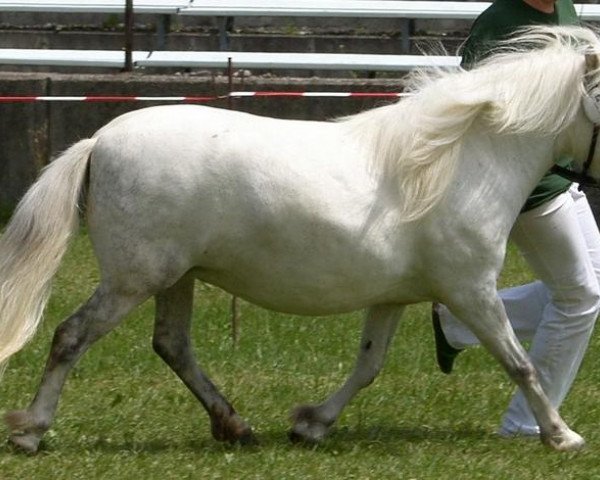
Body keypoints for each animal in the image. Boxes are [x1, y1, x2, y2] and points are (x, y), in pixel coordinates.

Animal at [1, 26, 600, 454]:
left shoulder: (394, 297)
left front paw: (310, 424)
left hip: (175, 278)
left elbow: (368, 364)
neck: (461, 164)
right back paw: (31, 431)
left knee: (172, 344)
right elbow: (520, 363)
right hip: (134, 279)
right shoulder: (471, 290)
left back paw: (235, 426)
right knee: (71, 336)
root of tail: (99, 141)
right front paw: (562, 436)